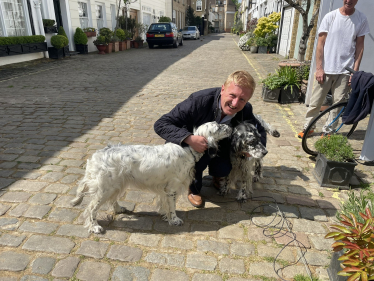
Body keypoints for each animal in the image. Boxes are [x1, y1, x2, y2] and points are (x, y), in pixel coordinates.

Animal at [70, 121, 231, 233]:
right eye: (218, 126)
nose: (230, 126)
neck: (188, 150)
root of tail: (95, 156)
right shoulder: (172, 188)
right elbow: (172, 206)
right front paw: (174, 220)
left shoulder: (166, 190)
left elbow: (166, 205)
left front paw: (165, 215)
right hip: (105, 188)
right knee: (91, 208)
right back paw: (94, 227)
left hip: (116, 184)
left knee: (112, 200)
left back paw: (119, 208)